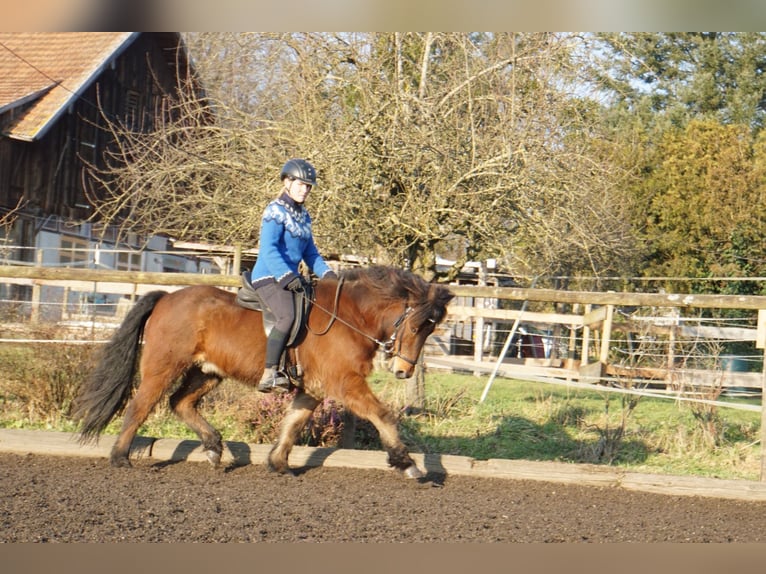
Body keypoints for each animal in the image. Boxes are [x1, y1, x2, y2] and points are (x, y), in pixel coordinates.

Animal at [70, 268, 456, 480]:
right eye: (417, 325)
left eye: (431, 329)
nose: (403, 370)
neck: (350, 316)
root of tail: (166, 297)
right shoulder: (345, 383)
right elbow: (383, 415)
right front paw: (406, 463)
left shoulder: (313, 388)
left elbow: (294, 423)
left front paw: (278, 463)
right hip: (163, 368)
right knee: (140, 406)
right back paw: (120, 458)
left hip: (206, 372)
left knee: (180, 403)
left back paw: (214, 447)